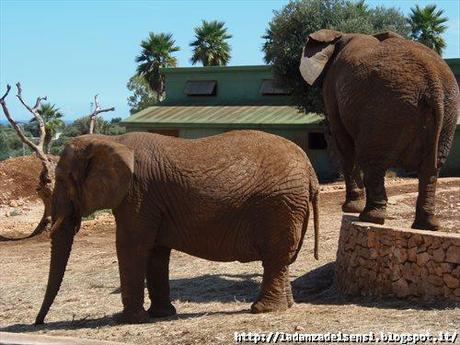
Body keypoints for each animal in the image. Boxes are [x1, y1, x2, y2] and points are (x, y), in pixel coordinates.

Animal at [35, 130, 320, 324]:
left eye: (63, 180)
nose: (39, 322)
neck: (110, 140)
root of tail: (310, 169)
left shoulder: (138, 195)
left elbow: (132, 247)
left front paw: (127, 320)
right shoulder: (150, 201)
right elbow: (156, 252)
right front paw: (160, 315)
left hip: (280, 205)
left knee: (275, 257)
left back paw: (262, 310)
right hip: (289, 206)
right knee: (282, 259)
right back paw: (286, 306)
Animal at [300, 28, 458, 228]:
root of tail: (434, 82)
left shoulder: (331, 88)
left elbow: (343, 141)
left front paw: (350, 208)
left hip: (386, 109)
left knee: (371, 159)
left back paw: (369, 217)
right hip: (447, 111)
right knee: (432, 167)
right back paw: (427, 225)